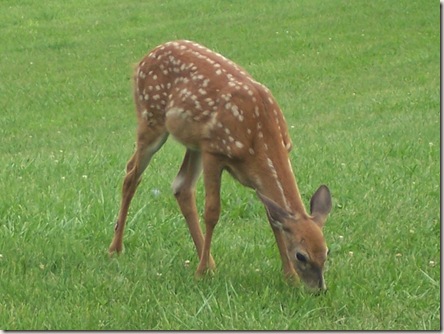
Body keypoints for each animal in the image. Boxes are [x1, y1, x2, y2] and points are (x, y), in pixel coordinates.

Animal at [109, 38, 332, 290]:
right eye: (301, 256)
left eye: (326, 253)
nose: (319, 289)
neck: (259, 139)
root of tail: (141, 61)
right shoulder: (215, 152)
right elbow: (212, 211)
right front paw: (200, 274)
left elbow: (273, 219)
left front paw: (290, 277)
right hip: (152, 121)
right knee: (131, 174)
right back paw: (116, 248)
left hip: (194, 143)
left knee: (181, 187)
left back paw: (210, 262)